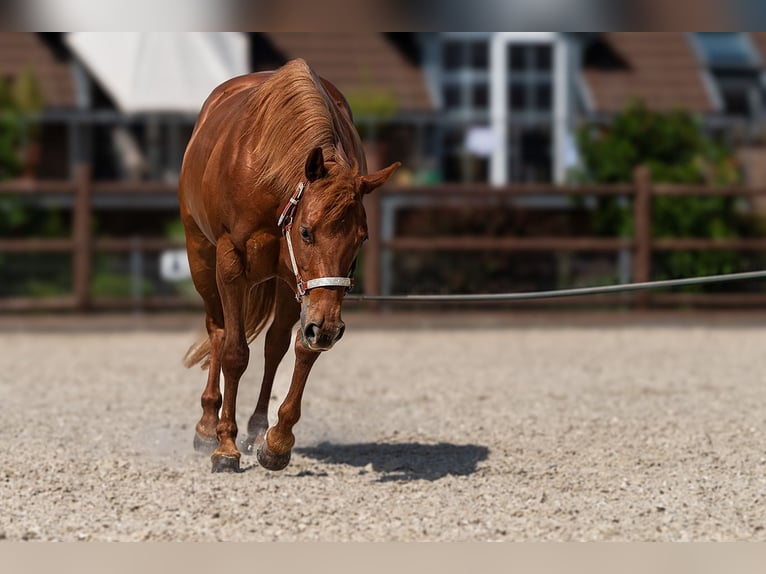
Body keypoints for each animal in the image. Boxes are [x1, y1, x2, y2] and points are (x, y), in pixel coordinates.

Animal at [177, 57, 400, 472]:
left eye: (361, 240)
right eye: (307, 232)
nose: (327, 329)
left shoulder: (308, 288)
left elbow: (302, 348)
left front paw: (277, 441)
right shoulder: (230, 263)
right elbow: (234, 352)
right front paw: (225, 446)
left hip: (286, 283)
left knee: (275, 345)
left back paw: (255, 429)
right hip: (200, 256)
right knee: (218, 331)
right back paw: (207, 426)